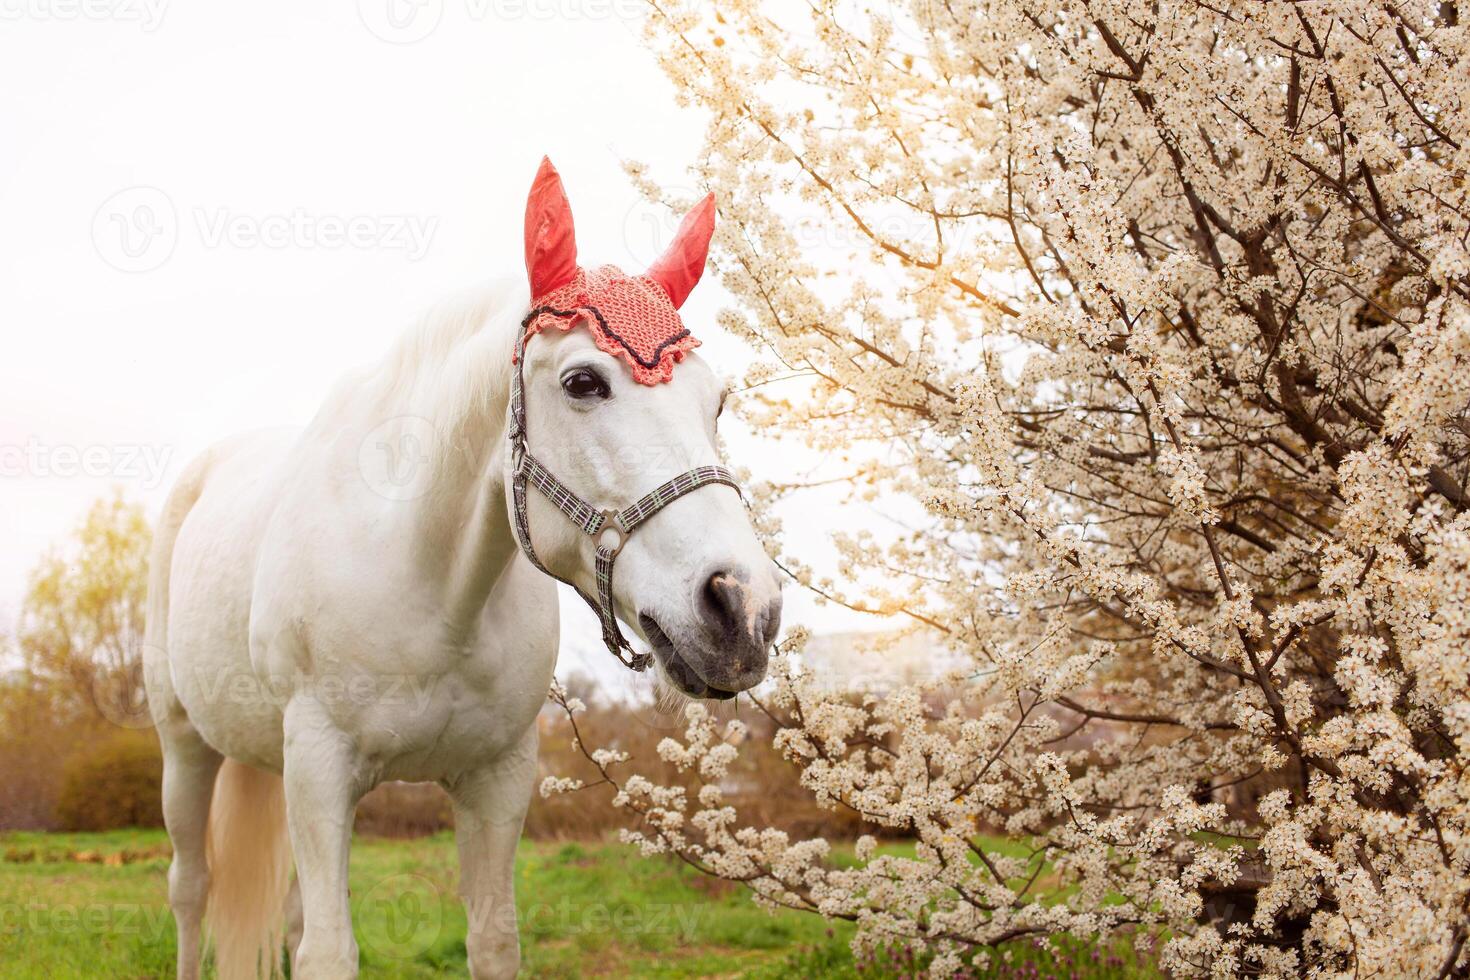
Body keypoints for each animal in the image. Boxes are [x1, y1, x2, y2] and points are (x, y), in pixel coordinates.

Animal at [147, 163, 787, 980]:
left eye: (718, 400)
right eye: (583, 382)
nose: (743, 609)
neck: (431, 591)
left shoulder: (498, 779)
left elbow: (491, 939)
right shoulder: (320, 768)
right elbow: (329, 950)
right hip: (184, 747)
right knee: (190, 889)